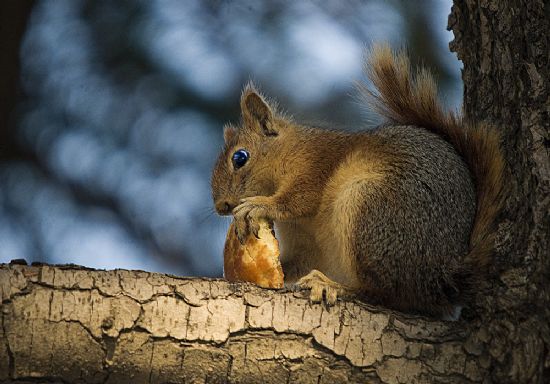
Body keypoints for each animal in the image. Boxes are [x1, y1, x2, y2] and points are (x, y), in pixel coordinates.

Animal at [213, 44, 506, 318]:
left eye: (240, 157)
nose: (221, 207)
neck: (289, 151)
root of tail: (443, 278)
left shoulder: (314, 167)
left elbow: (298, 199)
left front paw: (258, 205)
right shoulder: (305, 240)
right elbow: (299, 259)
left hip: (369, 210)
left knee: (382, 293)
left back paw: (332, 286)